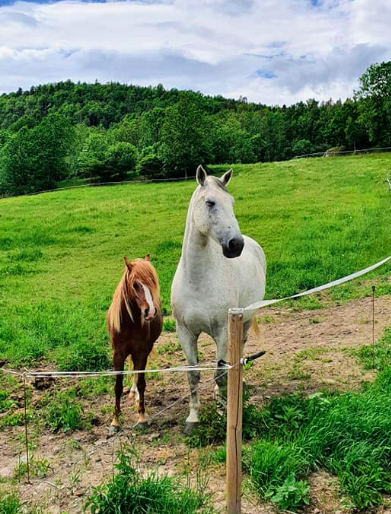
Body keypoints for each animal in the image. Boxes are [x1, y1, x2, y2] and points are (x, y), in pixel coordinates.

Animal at [107, 254, 162, 430]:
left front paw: (142, 417)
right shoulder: (118, 354)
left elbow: (142, 383)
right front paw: (115, 421)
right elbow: (117, 386)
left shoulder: (142, 352)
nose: (150, 312)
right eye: (135, 284)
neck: (129, 323)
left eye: (152, 282)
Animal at [172, 166, 266, 430]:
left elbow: (220, 374)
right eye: (210, 202)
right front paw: (193, 417)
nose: (235, 245)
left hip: (244, 322)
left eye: (231, 203)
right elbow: (193, 374)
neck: (197, 279)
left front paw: (223, 412)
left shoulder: (223, 330)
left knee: (238, 351)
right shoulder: (185, 332)